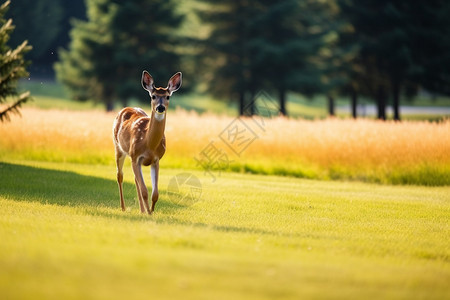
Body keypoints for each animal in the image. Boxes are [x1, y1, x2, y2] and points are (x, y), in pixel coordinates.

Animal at [112, 71, 181, 213]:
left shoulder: (156, 160)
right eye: (153, 96)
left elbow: (155, 194)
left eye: (168, 97)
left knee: (135, 179)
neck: (149, 144)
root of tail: (126, 107)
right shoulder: (135, 156)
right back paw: (123, 207)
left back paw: (142, 209)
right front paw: (149, 212)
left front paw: (150, 211)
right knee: (119, 175)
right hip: (118, 147)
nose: (160, 107)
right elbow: (144, 191)